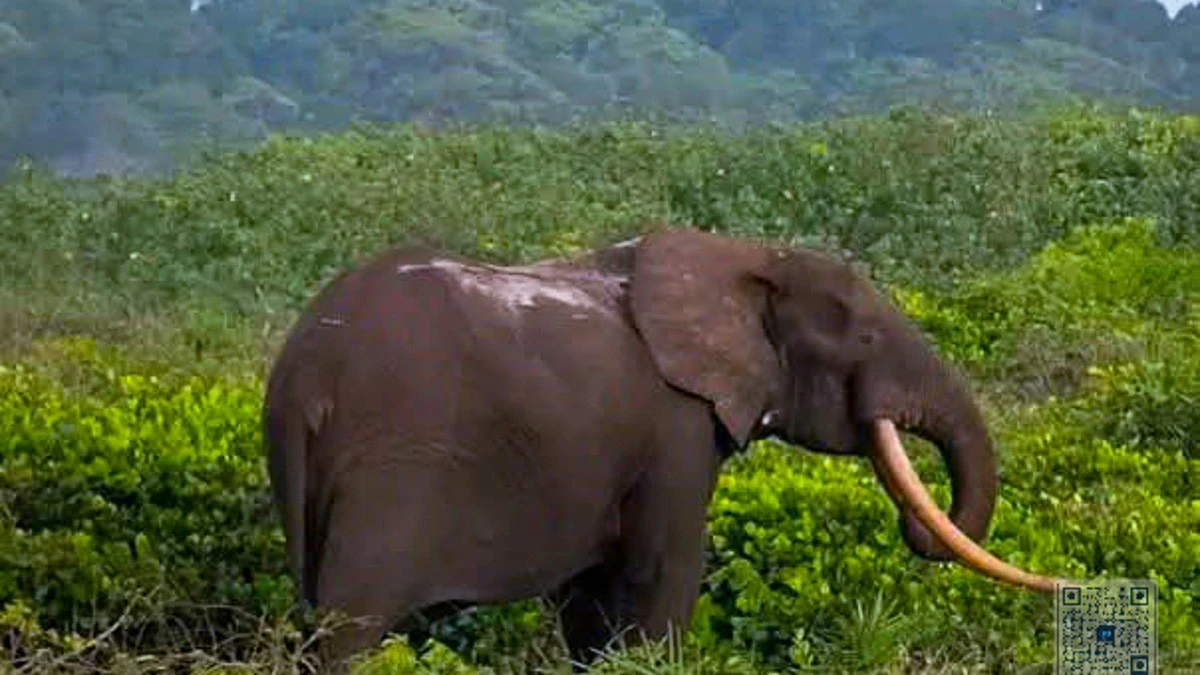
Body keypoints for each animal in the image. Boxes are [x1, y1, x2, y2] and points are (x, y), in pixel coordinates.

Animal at [263, 228, 1060, 672]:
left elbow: (589, 599)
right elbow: (661, 572)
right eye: (861, 335)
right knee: (350, 623)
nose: (913, 529)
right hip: (390, 469)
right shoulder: (673, 427)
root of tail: (306, 375)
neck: (741, 256)